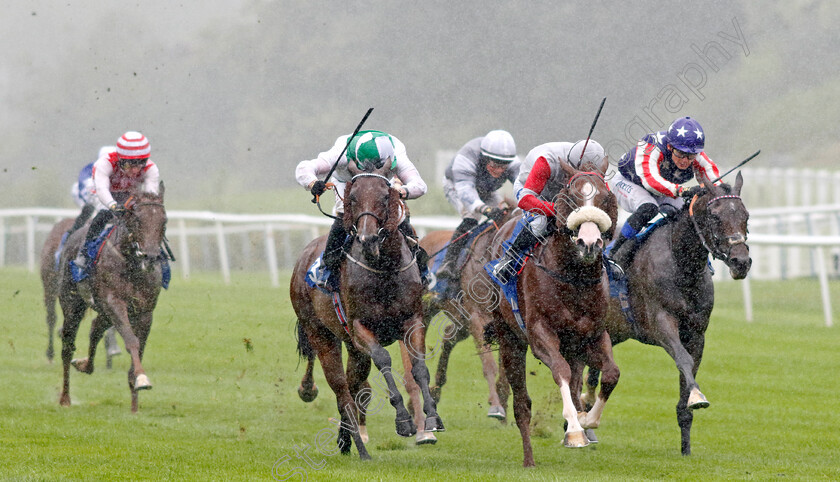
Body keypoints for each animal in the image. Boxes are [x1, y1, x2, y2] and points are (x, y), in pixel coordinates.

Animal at [57, 184, 169, 410]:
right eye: (138, 219)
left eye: (164, 221)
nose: (151, 257)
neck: (131, 264)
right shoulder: (114, 303)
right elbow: (131, 341)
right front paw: (142, 378)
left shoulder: (144, 311)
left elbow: (139, 346)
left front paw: (135, 402)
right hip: (72, 304)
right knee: (67, 345)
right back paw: (65, 398)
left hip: (103, 310)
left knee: (95, 329)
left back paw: (85, 365)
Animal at [288, 162, 442, 460]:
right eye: (352, 199)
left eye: (384, 197)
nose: (368, 238)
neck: (384, 269)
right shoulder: (360, 328)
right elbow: (384, 359)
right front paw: (403, 421)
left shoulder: (413, 321)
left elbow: (419, 368)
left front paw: (432, 419)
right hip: (321, 334)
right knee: (342, 392)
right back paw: (360, 448)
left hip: (354, 349)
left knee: (354, 387)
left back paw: (345, 439)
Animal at [482, 163, 620, 466]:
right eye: (570, 197)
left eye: (606, 198)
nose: (589, 243)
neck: (574, 278)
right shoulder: (540, 334)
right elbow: (560, 371)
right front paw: (576, 430)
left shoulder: (593, 335)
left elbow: (611, 374)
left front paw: (586, 420)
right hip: (509, 338)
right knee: (522, 403)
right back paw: (529, 459)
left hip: (573, 346)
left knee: (577, 379)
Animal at [580, 169, 752, 456]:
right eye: (715, 216)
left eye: (745, 216)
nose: (741, 262)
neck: (682, 265)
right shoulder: (661, 323)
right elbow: (683, 359)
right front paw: (698, 396)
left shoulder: (697, 333)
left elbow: (689, 369)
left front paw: (686, 446)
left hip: (610, 332)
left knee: (592, 370)